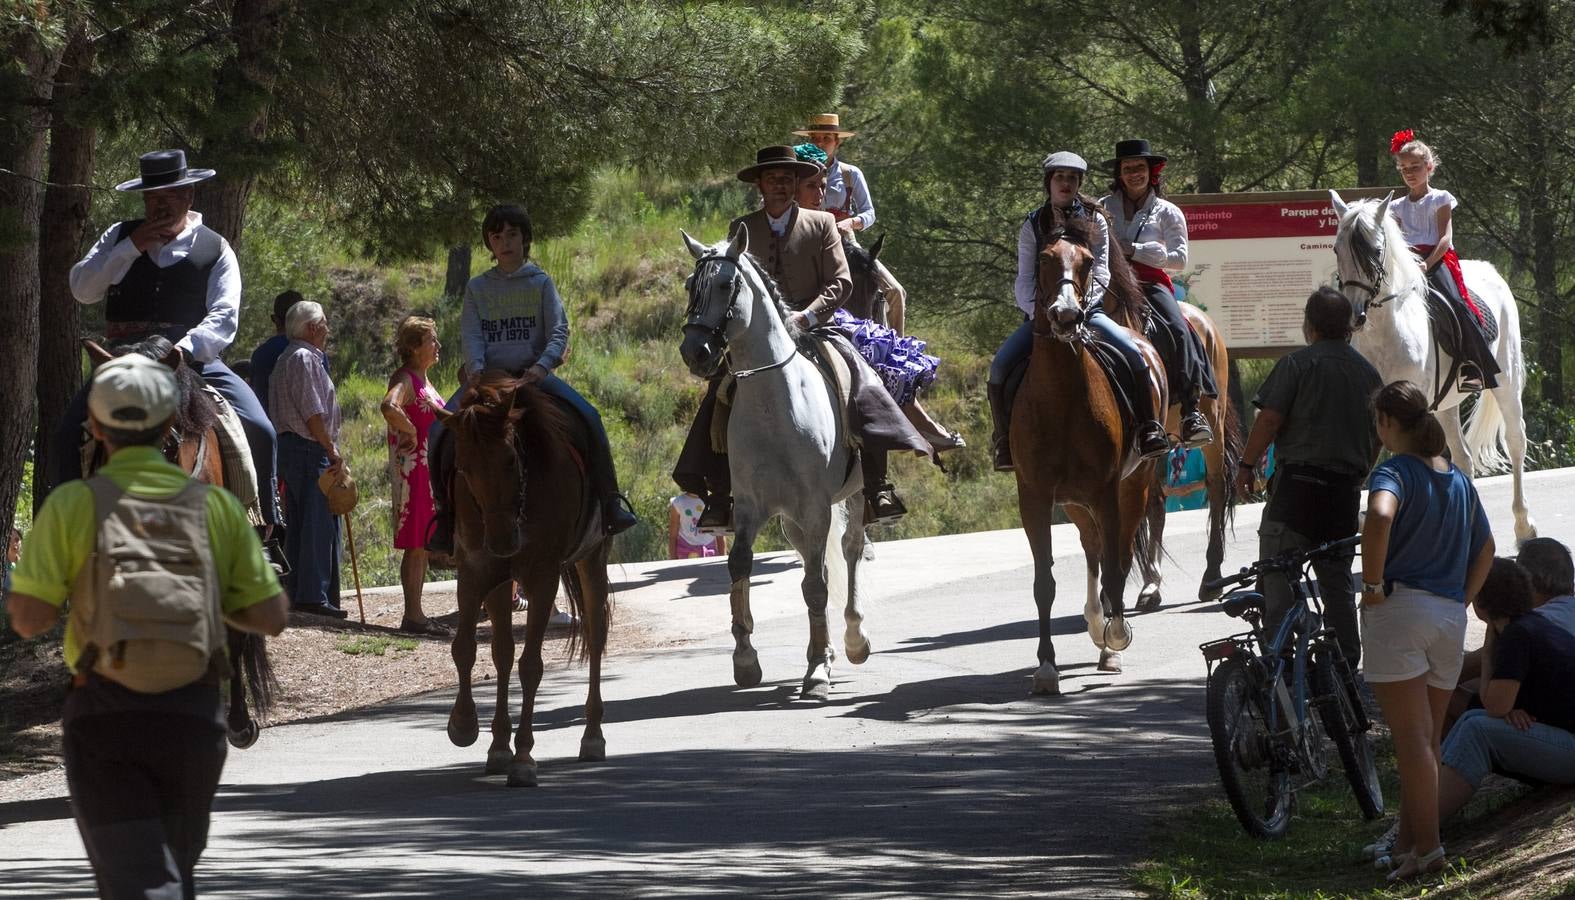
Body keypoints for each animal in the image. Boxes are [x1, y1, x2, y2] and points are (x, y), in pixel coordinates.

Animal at [450, 373, 614, 788]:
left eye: (511, 458)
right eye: (463, 466)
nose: (502, 540)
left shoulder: (542, 577)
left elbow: (531, 666)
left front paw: (523, 757)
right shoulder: (476, 573)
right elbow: (468, 649)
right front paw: (466, 726)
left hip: (592, 558)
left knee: (596, 635)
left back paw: (592, 737)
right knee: (502, 653)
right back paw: (497, 746)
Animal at [677, 222, 875, 699]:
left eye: (726, 284)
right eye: (691, 284)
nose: (695, 351)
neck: (774, 402)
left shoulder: (817, 506)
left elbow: (818, 587)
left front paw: (817, 672)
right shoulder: (751, 506)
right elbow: (740, 566)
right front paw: (746, 659)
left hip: (854, 495)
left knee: (849, 550)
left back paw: (853, 640)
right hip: (791, 520)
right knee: (815, 563)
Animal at [1001, 220, 1165, 696]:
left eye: (1089, 261)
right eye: (1042, 259)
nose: (1067, 314)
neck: (1061, 396)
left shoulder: (1107, 492)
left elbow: (1116, 568)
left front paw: (1117, 637)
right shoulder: (1036, 498)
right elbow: (1044, 583)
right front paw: (1046, 668)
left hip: (1133, 486)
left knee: (1117, 555)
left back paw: (1109, 639)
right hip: (1075, 503)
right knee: (1093, 548)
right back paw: (1095, 623)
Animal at [1329, 189, 1537, 542]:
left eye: (1376, 251)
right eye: (1336, 249)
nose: (1354, 315)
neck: (1387, 330)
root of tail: (1492, 272)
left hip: (1507, 382)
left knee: (1515, 441)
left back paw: (1524, 525)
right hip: (1447, 404)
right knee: (1463, 457)